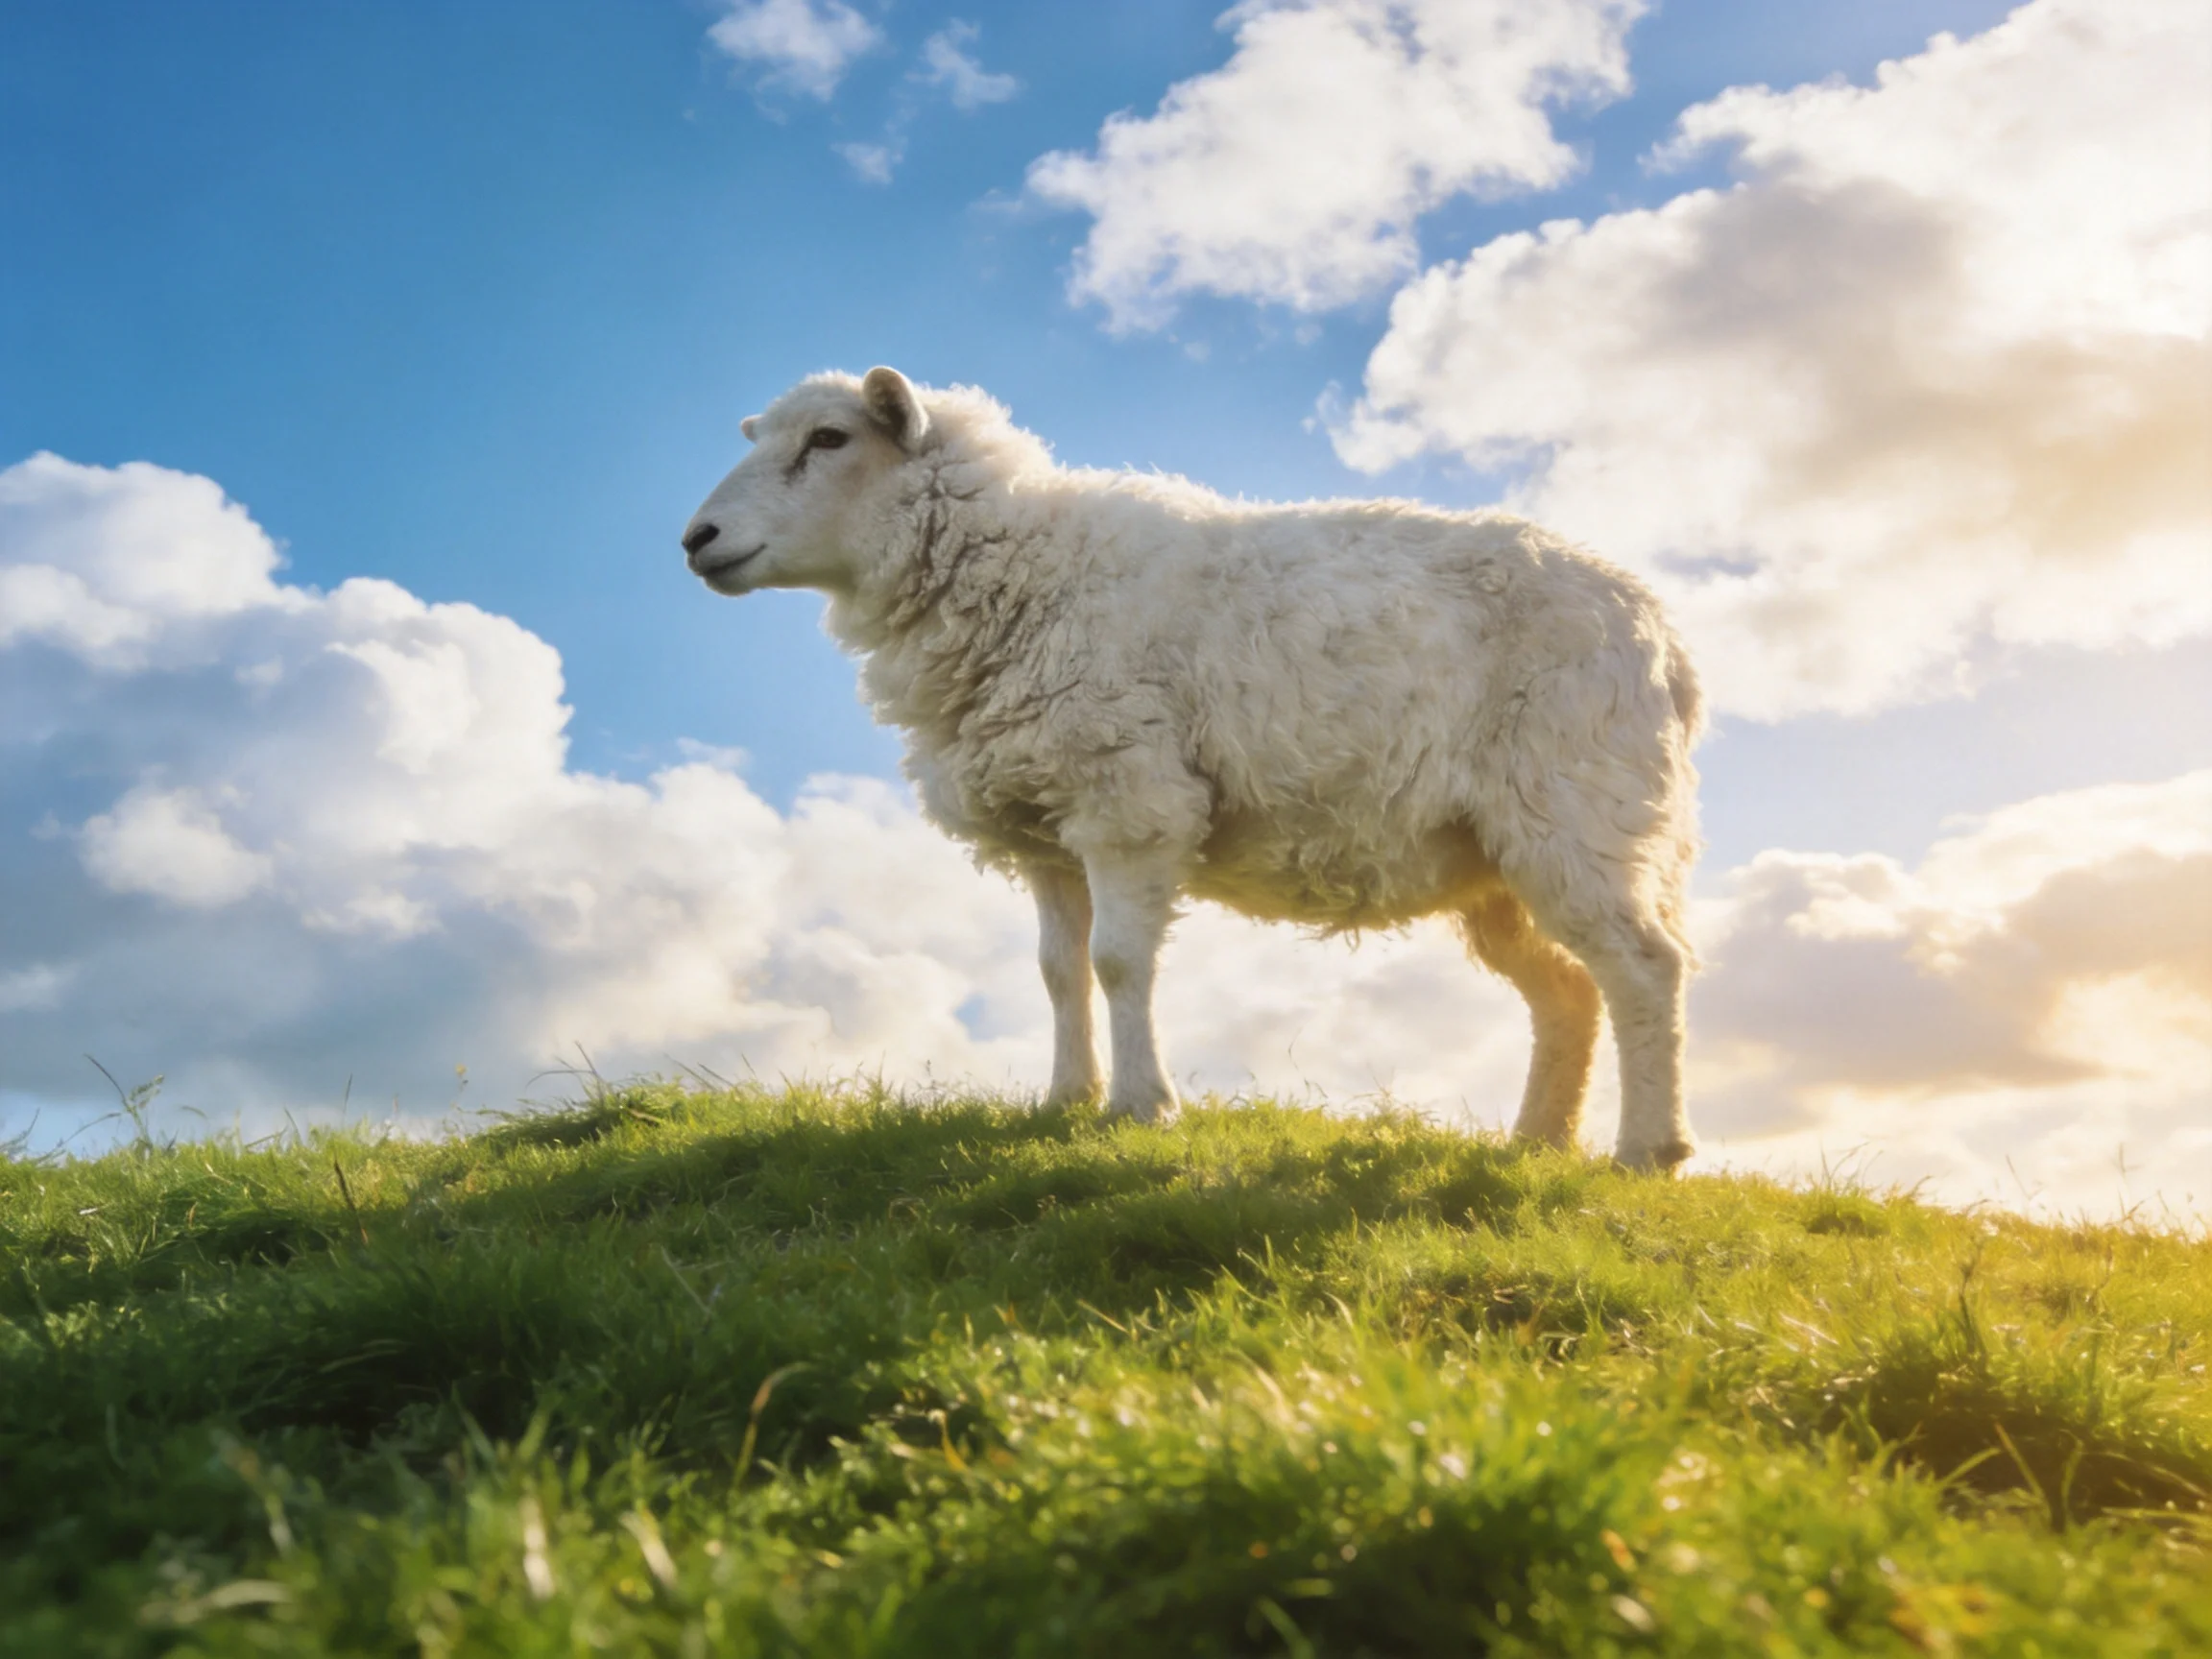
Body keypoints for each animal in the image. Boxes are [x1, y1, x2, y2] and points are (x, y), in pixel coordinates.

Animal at [682, 368, 1705, 1169]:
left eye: (829, 438)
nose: (696, 540)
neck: (1019, 566)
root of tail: (1663, 635)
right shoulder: (1046, 827)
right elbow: (1058, 972)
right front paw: (1063, 1102)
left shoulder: (1126, 798)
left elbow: (1118, 962)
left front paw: (1142, 1106)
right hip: (1497, 860)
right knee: (1570, 991)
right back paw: (1538, 1142)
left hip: (1578, 806)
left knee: (1645, 967)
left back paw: (1648, 1150)